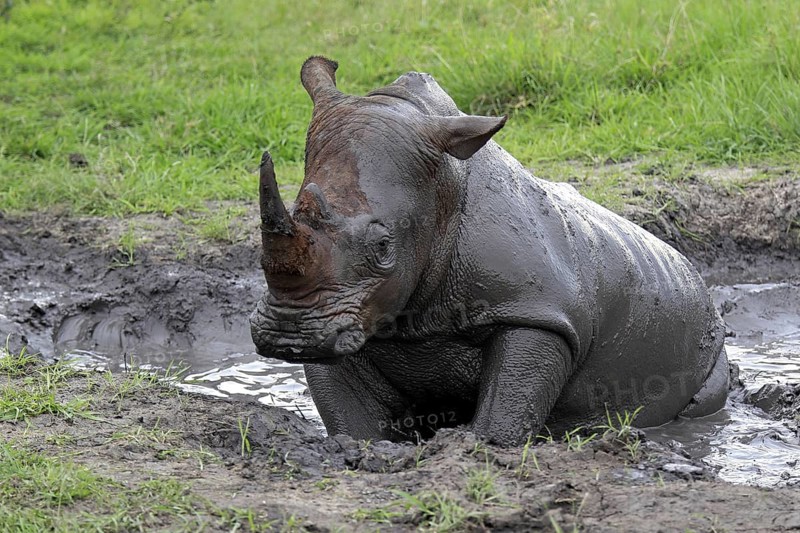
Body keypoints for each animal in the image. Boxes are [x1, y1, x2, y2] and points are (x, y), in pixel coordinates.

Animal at [249, 57, 729, 446]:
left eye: (384, 247)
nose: (288, 334)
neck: (443, 189)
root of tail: (694, 274)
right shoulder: (342, 313)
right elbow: (349, 412)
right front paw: (359, 450)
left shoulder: (537, 308)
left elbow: (508, 402)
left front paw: (476, 448)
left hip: (708, 342)